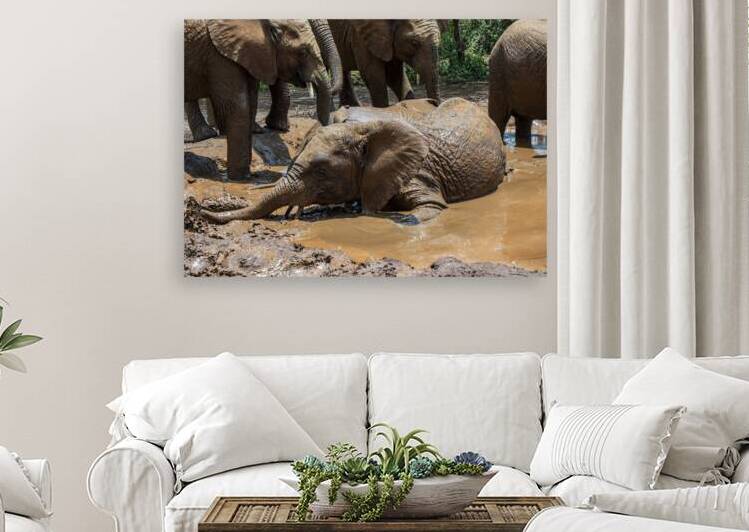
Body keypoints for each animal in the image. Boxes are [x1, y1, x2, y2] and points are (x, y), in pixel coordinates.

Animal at [184, 19, 335, 180]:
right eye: (303, 52)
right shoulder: (219, 56)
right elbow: (239, 106)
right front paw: (241, 178)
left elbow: (250, 98)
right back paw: (207, 135)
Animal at [202, 98, 506, 225]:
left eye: (321, 171)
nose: (201, 212)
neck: (364, 132)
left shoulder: (417, 172)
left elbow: (430, 207)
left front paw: (396, 218)